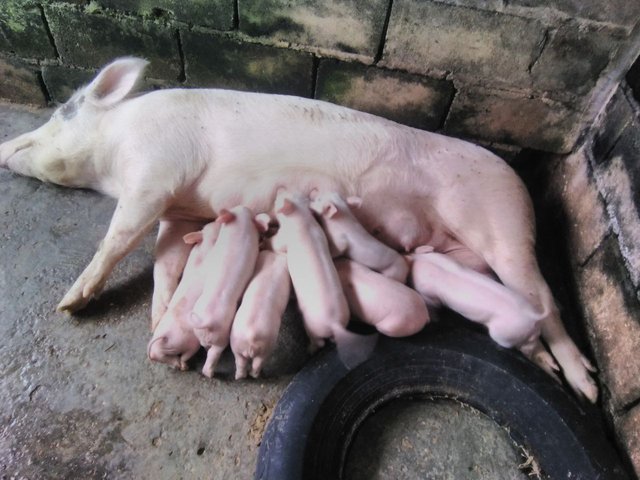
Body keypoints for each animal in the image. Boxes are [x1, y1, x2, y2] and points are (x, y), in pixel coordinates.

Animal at [0, 55, 600, 402]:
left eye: (63, 111)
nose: (5, 145)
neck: (116, 150)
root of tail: (520, 185)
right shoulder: (180, 209)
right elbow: (166, 261)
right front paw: (158, 321)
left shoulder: (154, 177)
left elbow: (118, 239)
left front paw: (68, 304)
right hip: (463, 255)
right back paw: (546, 367)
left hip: (501, 225)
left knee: (546, 300)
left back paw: (585, 388)